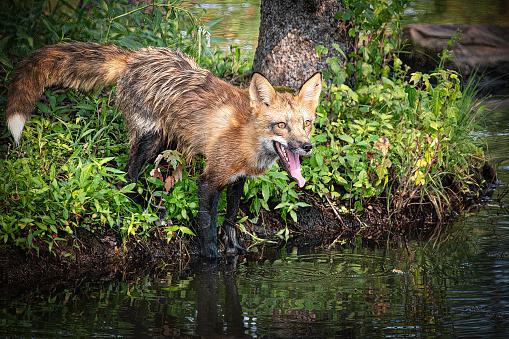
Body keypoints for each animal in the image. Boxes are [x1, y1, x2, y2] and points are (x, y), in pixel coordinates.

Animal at [4, 43, 322, 258]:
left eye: (306, 124)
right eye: (281, 125)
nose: (306, 147)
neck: (246, 138)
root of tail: (135, 56)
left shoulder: (237, 179)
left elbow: (230, 217)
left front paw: (233, 248)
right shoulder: (209, 179)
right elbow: (207, 223)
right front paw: (211, 257)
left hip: (167, 139)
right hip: (151, 139)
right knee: (126, 180)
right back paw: (145, 209)